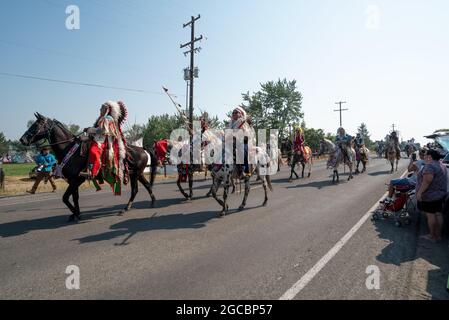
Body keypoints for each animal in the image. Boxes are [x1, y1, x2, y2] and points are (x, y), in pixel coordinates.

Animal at [20, 113, 158, 222]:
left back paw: (126, 208)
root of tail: (142, 149)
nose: (23, 139)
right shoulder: (72, 180)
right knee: (147, 185)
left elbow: (65, 198)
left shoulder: (77, 179)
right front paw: (76, 213)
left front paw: (76, 214)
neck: (69, 149)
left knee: (135, 190)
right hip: (138, 174)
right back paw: (152, 202)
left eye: (37, 125)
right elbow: (74, 197)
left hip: (135, 174)